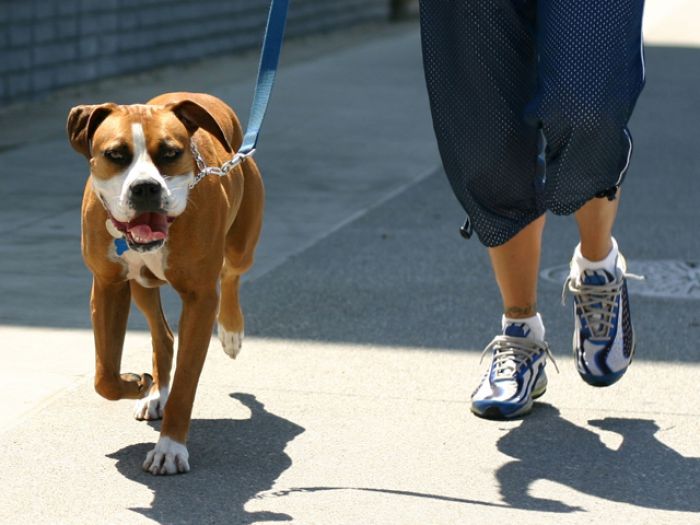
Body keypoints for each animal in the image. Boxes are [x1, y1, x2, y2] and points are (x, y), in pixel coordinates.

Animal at [67, 92, 264, 472]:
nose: (145, 187)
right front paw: (136, 384)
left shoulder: (200, 298)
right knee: (163, 335)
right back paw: (156, 392)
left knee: (231, 274)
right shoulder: (108, 286)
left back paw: (231, 331)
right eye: (116, 155)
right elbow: (104, 376)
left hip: (241, 245)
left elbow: (187, 381)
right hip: (141, 286)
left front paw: (170, 448)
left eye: (170, 153)